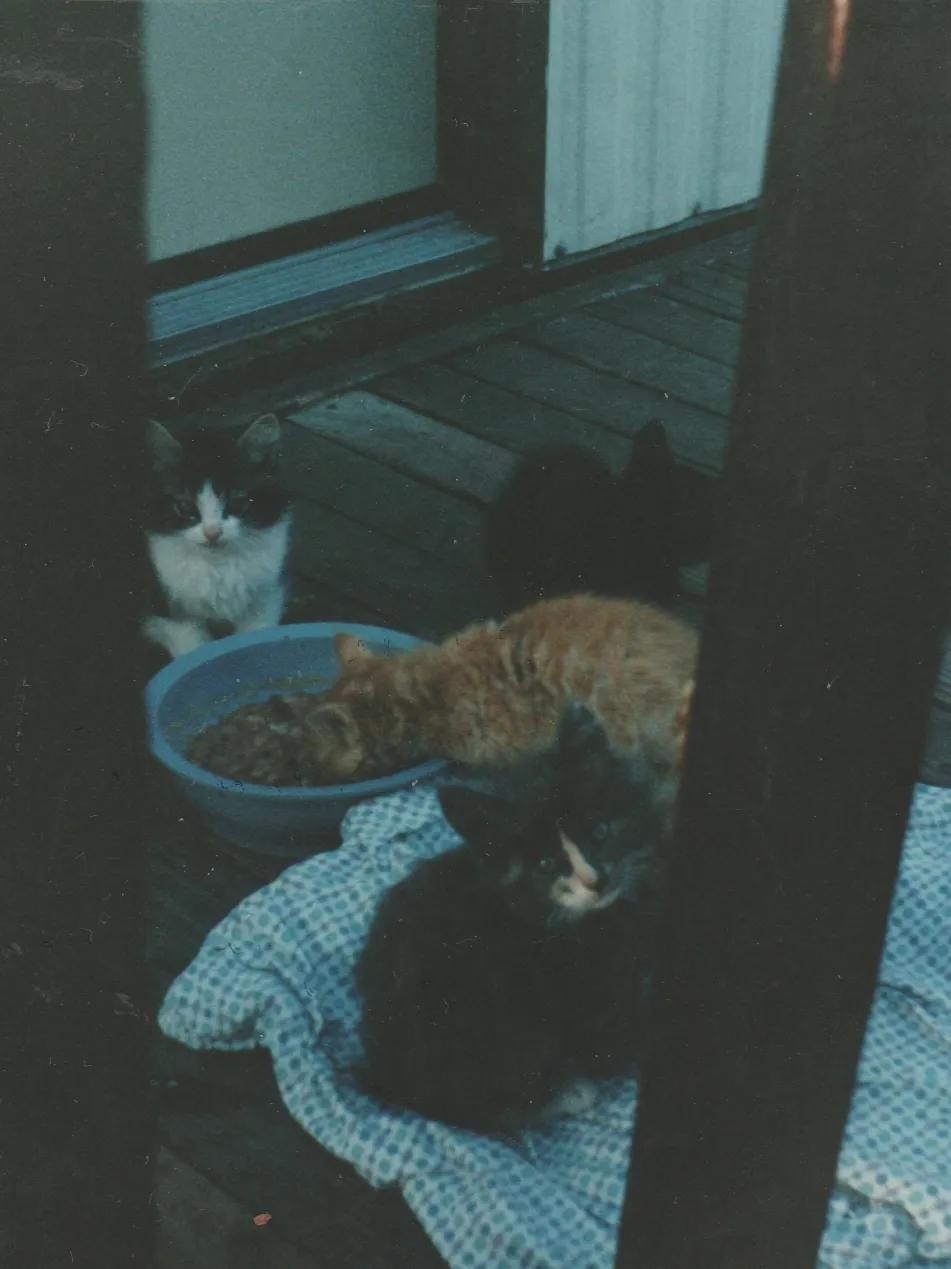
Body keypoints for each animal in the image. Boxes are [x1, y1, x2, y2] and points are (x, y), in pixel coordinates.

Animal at [352, 710, 665, 1137]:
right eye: (546, 864)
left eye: (601, 831)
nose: (597, 881)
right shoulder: (587, 990)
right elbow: (624, 1028)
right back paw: (569, 1094)